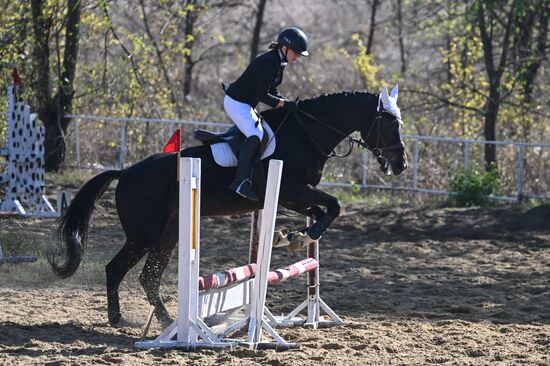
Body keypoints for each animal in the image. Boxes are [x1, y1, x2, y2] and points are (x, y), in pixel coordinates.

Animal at [50, 86, 410, 326]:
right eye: (389, 124)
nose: (400, 164)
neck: (307, 133)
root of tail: (124, 173)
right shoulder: (291, 189)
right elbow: (333, 206)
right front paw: (298, 236)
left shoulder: (293, 195)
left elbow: (324, 211)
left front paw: (295, 237)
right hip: (144, 234)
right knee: (118, 269)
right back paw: (124, 318)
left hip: (168, 233)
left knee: (146, 277)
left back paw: (161, 320)